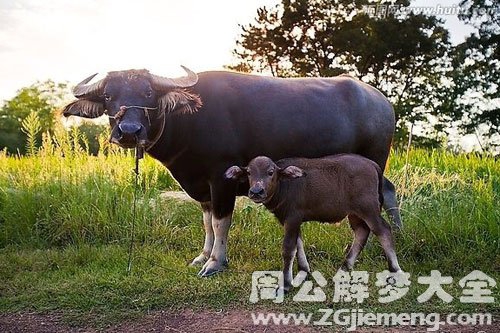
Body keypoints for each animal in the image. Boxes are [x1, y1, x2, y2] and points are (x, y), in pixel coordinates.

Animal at [62, 66, 400, 276]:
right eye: (108, 96)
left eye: (148, 93)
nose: (129, 131)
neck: (189, 119)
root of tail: (383, 101)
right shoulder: (202, 186)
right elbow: (207, 222)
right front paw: (202, 255)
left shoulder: (221, 178)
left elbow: (221, 222)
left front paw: (215, 262)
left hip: (373, 165)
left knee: (376, 208)